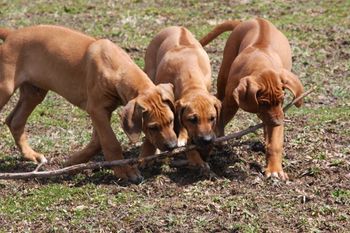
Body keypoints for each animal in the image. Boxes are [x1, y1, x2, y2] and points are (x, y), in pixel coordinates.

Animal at [0, 25, 176, 182]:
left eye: (171, 121)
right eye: (152, 127)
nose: (173, 146)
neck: (117, 68)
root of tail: (12, 34)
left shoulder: (103, 111)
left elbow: (98, 142)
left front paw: (73, 162)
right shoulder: (96, 109)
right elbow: (111, 142)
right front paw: (124, 171)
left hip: (34, 93)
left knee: (15, 121)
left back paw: (31, 155)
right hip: (5, 89)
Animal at [201, 18, 304, 180]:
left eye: (281, 100)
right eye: (263, 103)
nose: (278, 122)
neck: (261, 63)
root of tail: (253, 20)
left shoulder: (278, 111)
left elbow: (275, 143)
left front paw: (274, 169)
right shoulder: (231, 102)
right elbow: (221, 118)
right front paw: (214, 141)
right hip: (224, 73)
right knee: (218, 96)